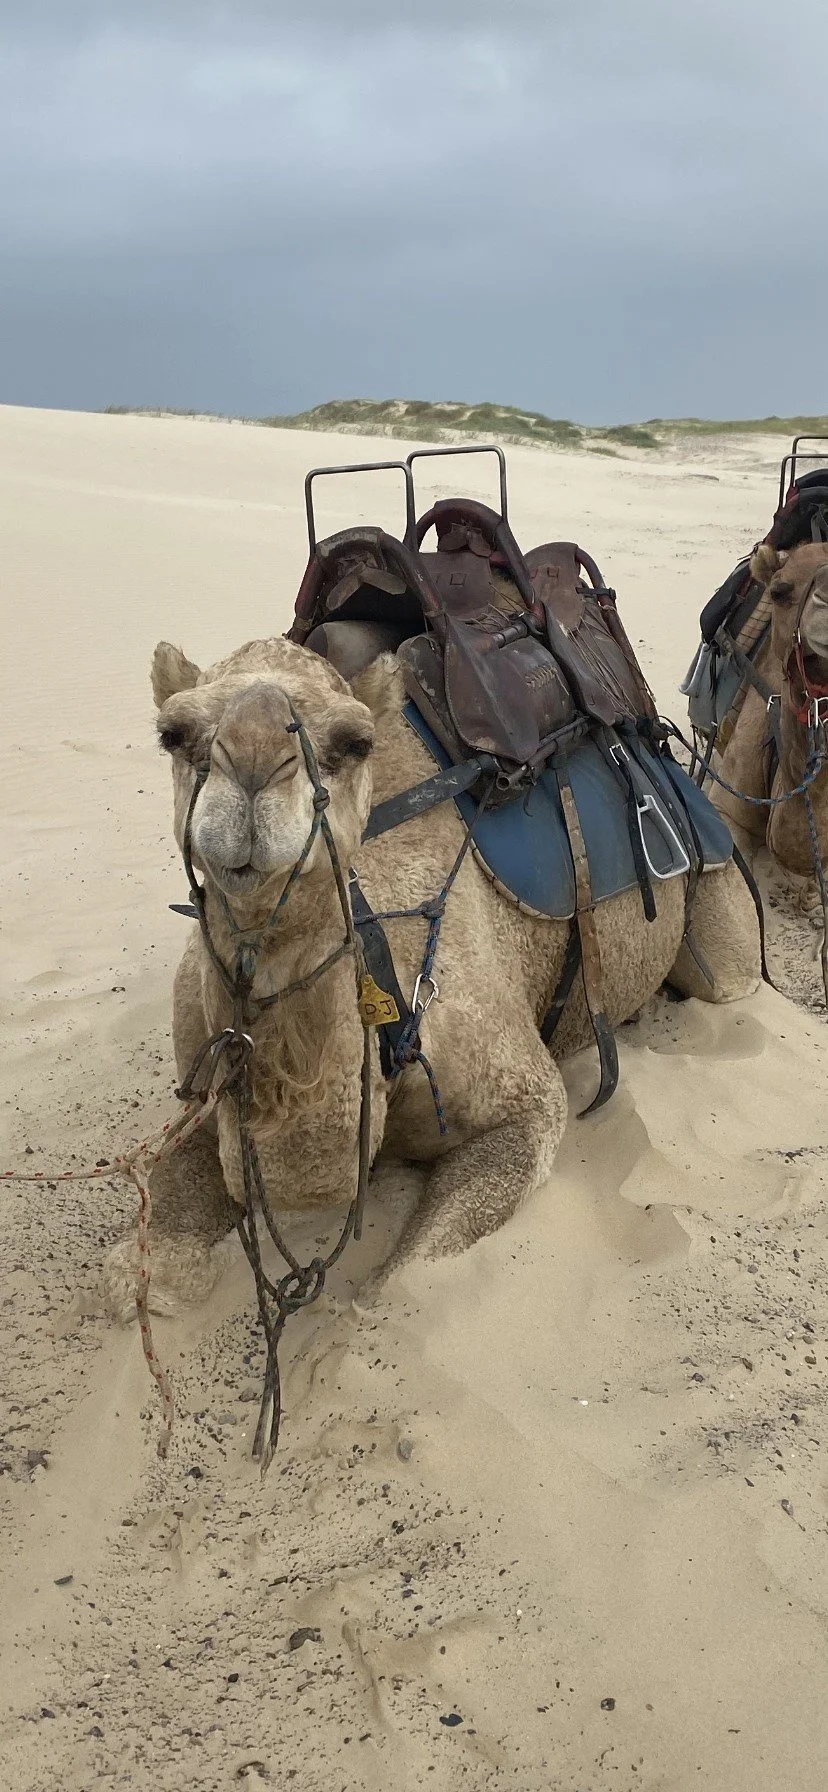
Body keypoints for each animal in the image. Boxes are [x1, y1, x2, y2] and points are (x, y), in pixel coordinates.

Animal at [103, 635, 760, 1319]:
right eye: (173, 733)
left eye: (355, 742)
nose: (255, 760)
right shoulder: (202, 1090)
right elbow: (136, 1273)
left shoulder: (522, 1100)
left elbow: (399, 1286)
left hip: (719, 907)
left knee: (726, 978)